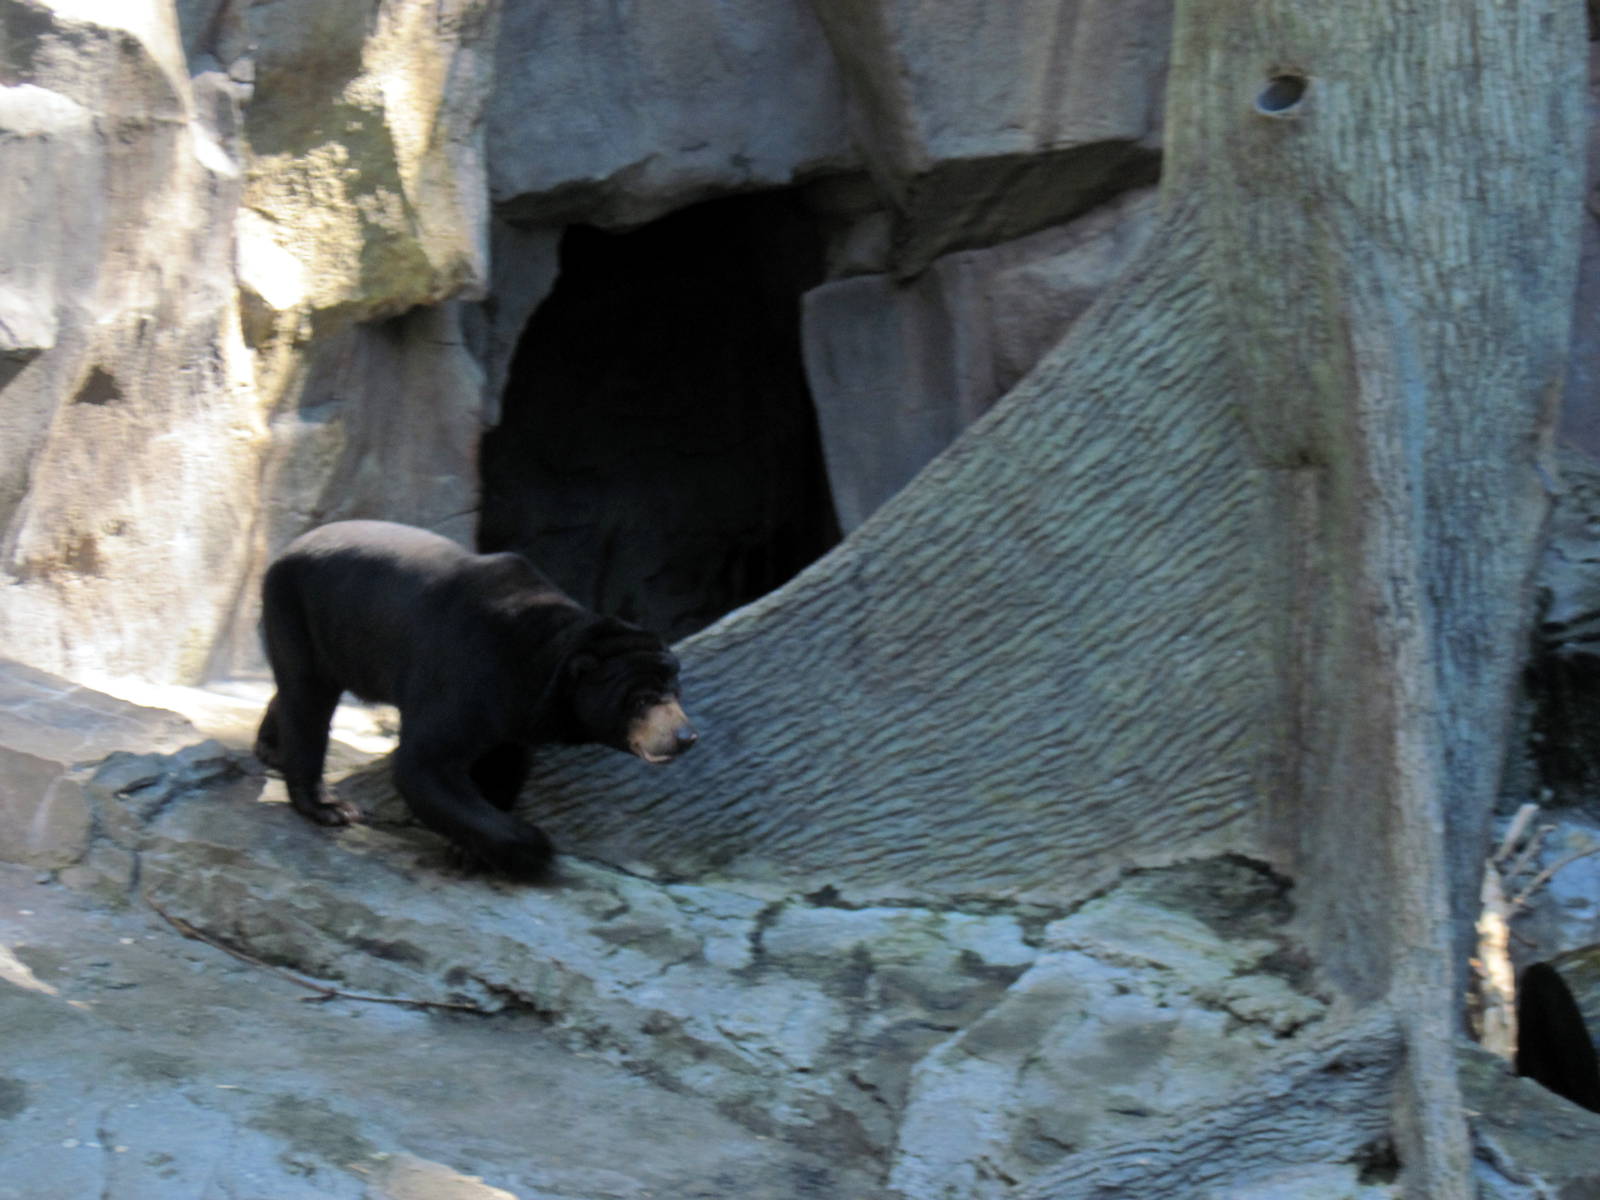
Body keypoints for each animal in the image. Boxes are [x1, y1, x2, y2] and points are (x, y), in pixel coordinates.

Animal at [253, 519, 697, 878]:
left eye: (674, 691)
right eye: (640, 700)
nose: (685, 737)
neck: (539, 653)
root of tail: (288, 548)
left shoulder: (516, 705)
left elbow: (503, 760)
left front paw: (471, 850)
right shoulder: (467, 668)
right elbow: (425, 764)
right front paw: (533, 848)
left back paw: (271, 748)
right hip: (299, 607)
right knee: (307, 696)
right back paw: (327, 805)